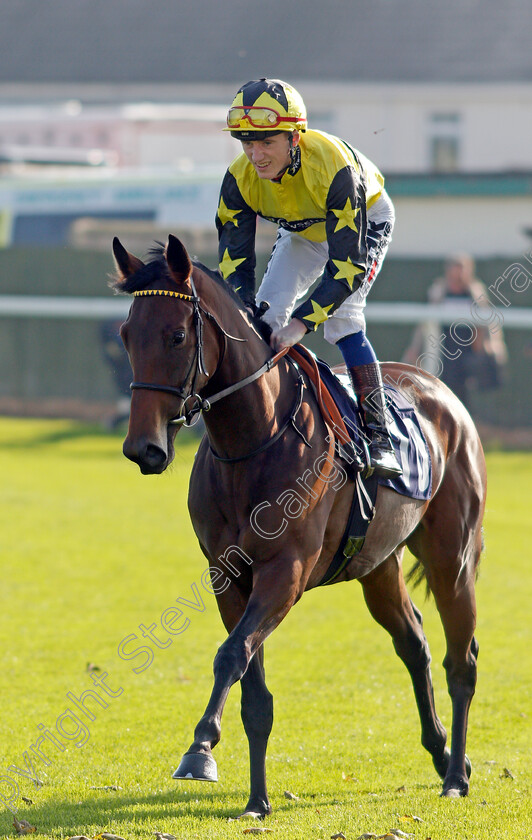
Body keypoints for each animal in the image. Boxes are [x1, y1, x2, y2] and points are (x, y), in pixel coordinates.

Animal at [112, 233, 486, 816]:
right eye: (126, 335)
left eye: (176, 335)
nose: (142, 448)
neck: (253, 441)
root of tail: (439, 390)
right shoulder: (228, 576)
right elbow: (252, 687)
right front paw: (256, 799)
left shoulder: (284, 571)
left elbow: (231, 655)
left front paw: (200, 748)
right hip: (377, 565)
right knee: (414, 642)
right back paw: (445, 753)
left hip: (453, 557)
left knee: (461, 659)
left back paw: (454, 777)